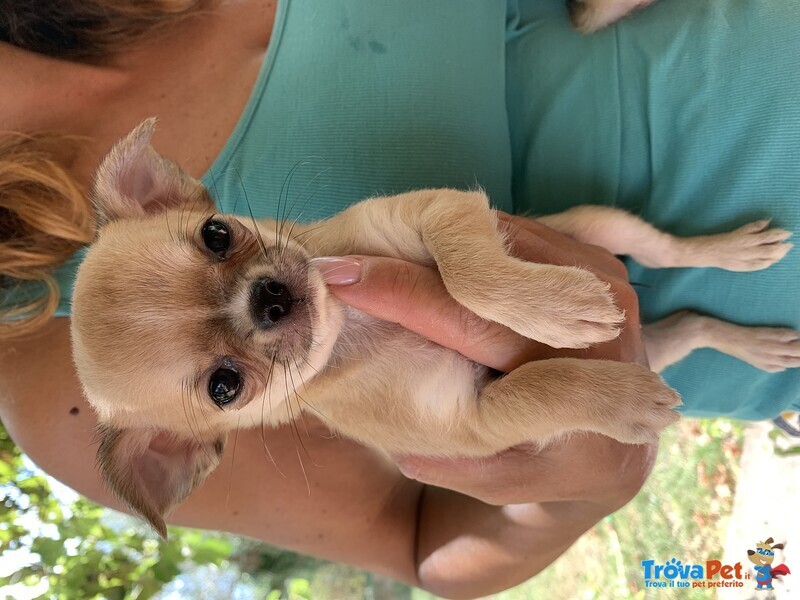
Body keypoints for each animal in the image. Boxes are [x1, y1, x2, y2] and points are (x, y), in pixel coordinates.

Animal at [73, 120, 792, 536]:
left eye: (217, 234)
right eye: (224, 387)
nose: (269, 300)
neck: (354, 325)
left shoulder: (434, 211)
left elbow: (469, 271)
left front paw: (555, 310)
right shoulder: (475, 422)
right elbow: (545, 387)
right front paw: (621, 400)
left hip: (600, 225)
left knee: (668, 253)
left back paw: (735, 254)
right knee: (689, 325)